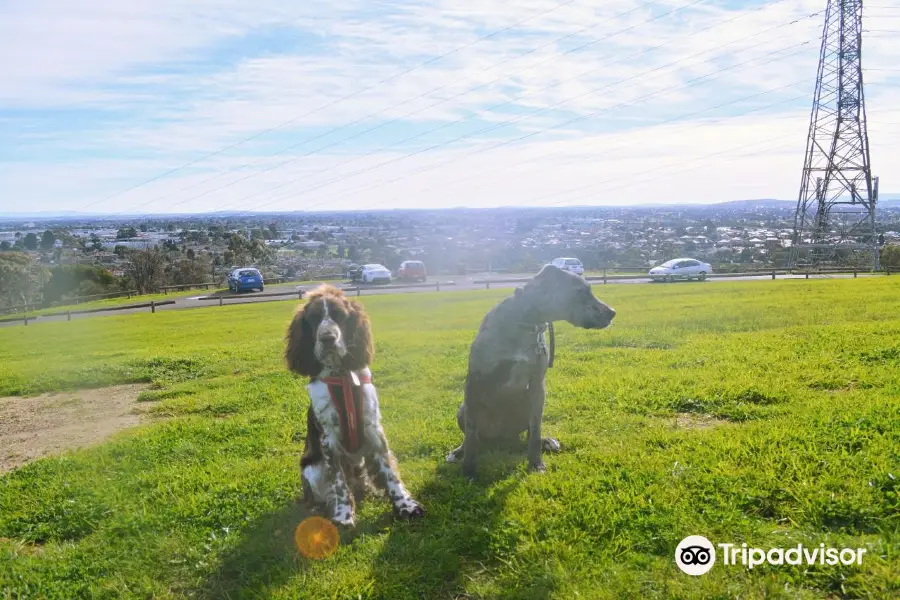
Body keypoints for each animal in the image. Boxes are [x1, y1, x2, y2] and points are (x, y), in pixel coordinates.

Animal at [284, 286, 426, 524]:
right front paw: (343, 515)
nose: (328, 338)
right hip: (312, 469)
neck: (341, 376)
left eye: (340, 315)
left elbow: (390, 473)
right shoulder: (328, 439)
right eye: (313, 318)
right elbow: (338, 481)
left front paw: (406, 505)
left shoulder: (373, 429)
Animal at [444, 264, 616, 480]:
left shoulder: (537, 387)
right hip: (463, 409)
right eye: (581, 292)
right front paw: (468, 469)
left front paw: (536, 464)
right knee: (473, 436)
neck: (526, 323)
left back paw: (546, 442)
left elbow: (535, 431)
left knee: (527, 436)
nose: (612, 312)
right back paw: (459, 452)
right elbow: (471, 434)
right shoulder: (476, 382)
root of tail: (503, 438)